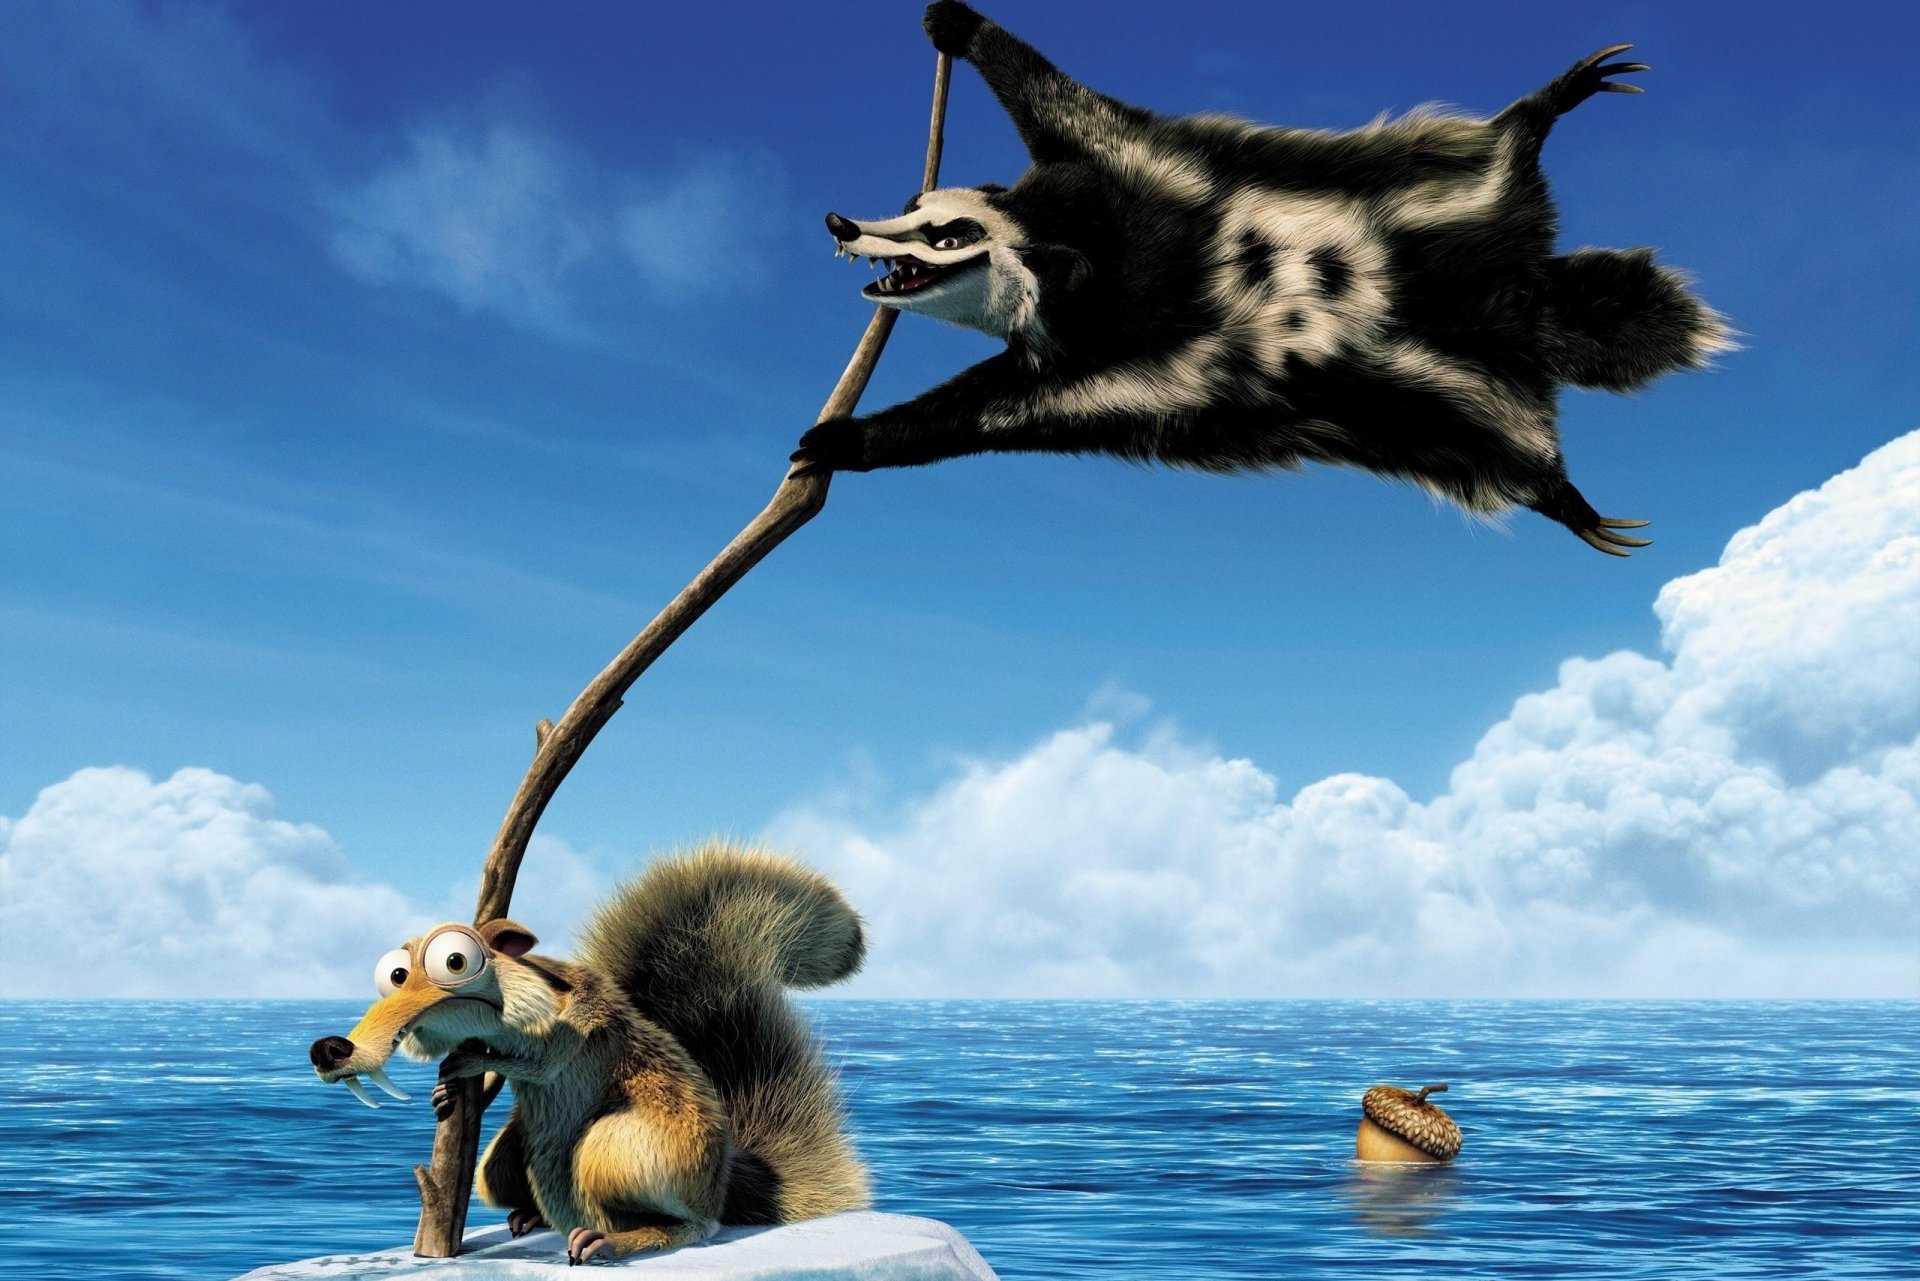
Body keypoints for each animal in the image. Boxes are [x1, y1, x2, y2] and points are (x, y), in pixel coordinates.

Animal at [308, 842, 870, 1264]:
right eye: (394, 975)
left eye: (455, 961)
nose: (329, 1049)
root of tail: (724, 1186)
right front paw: (447, 1093)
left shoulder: (573, 1029)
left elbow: (536, 1065)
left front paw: (471, 1065)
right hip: (505, 1161)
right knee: (501, 1170)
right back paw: (531, 1215)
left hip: (623, 1153)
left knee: (694, 1225)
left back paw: (614, 1239)